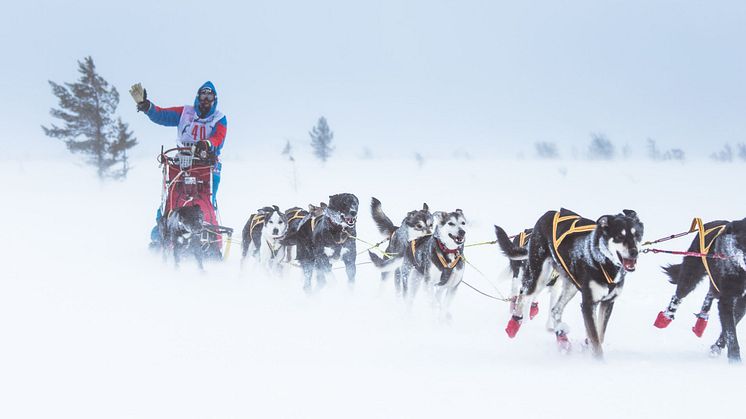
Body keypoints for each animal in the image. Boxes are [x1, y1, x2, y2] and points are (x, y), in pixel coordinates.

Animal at [494, 208, 640, 360]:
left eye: (637, 235)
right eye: (619, 236)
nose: (634, 252)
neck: (602, 261)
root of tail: (548, 213)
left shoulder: (607, 302)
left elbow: (599, 335)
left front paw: (588, 347)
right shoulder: (588, 303)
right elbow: (595, 338)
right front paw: (598, 360)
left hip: (568, 285)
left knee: (554, 308)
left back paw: (561, 337)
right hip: (537, 276)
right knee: (523, 295)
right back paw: (514, 323)